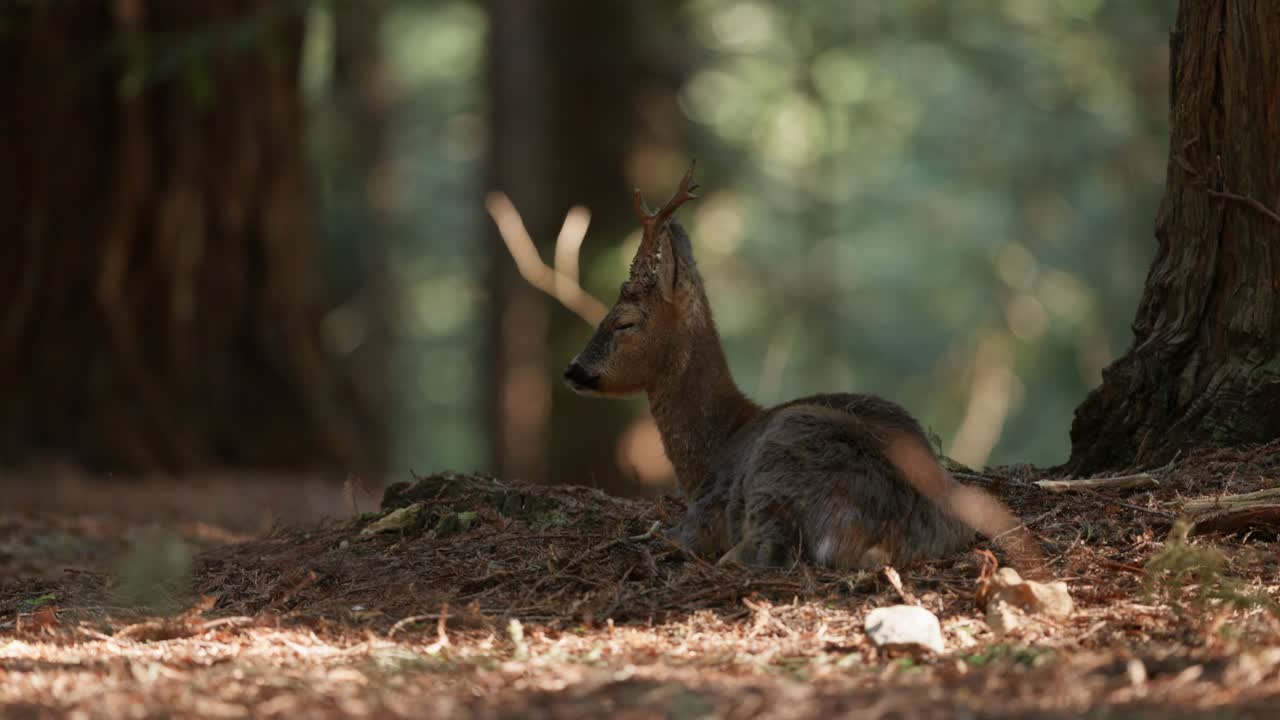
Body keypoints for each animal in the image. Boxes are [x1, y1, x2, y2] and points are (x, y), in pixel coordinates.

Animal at [509, 165, 1032, 570]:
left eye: (624, 322)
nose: (573, 370)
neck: (715, 443)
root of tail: (891, 534)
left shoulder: (705, 508)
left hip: (778, 469)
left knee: (760, 554)